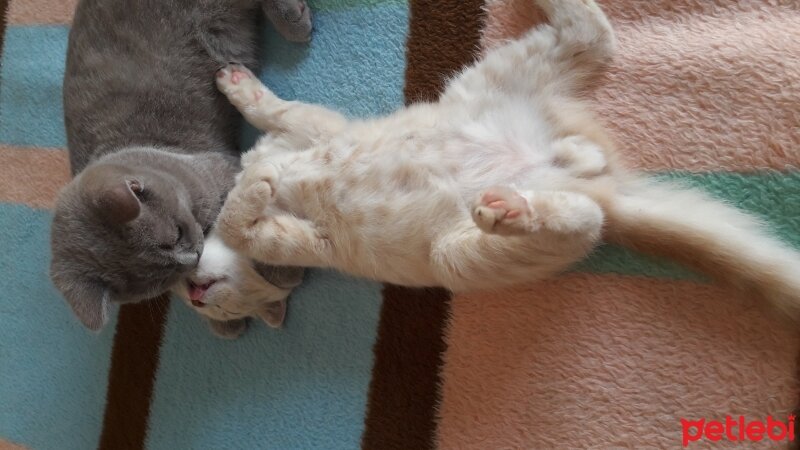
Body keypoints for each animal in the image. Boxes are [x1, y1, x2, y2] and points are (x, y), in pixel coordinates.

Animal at [50, 0, 310, 336]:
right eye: (161, 281)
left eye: (175, 235)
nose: (193, 259)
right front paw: (224, 323)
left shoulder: (227, 172)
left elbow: (242, 222)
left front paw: (283, 274)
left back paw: (294, 21)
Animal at [211, 0, 800, 320]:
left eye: (210, 300)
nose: (197, 291)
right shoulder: (297, 239)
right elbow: (242, 218)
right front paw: (256, 183)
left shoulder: (316, 128)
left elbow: (275, 113)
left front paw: (240, 98)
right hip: (457, 252)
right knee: (585, 217)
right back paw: (515, 210)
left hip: (490, 82)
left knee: (592, 32)